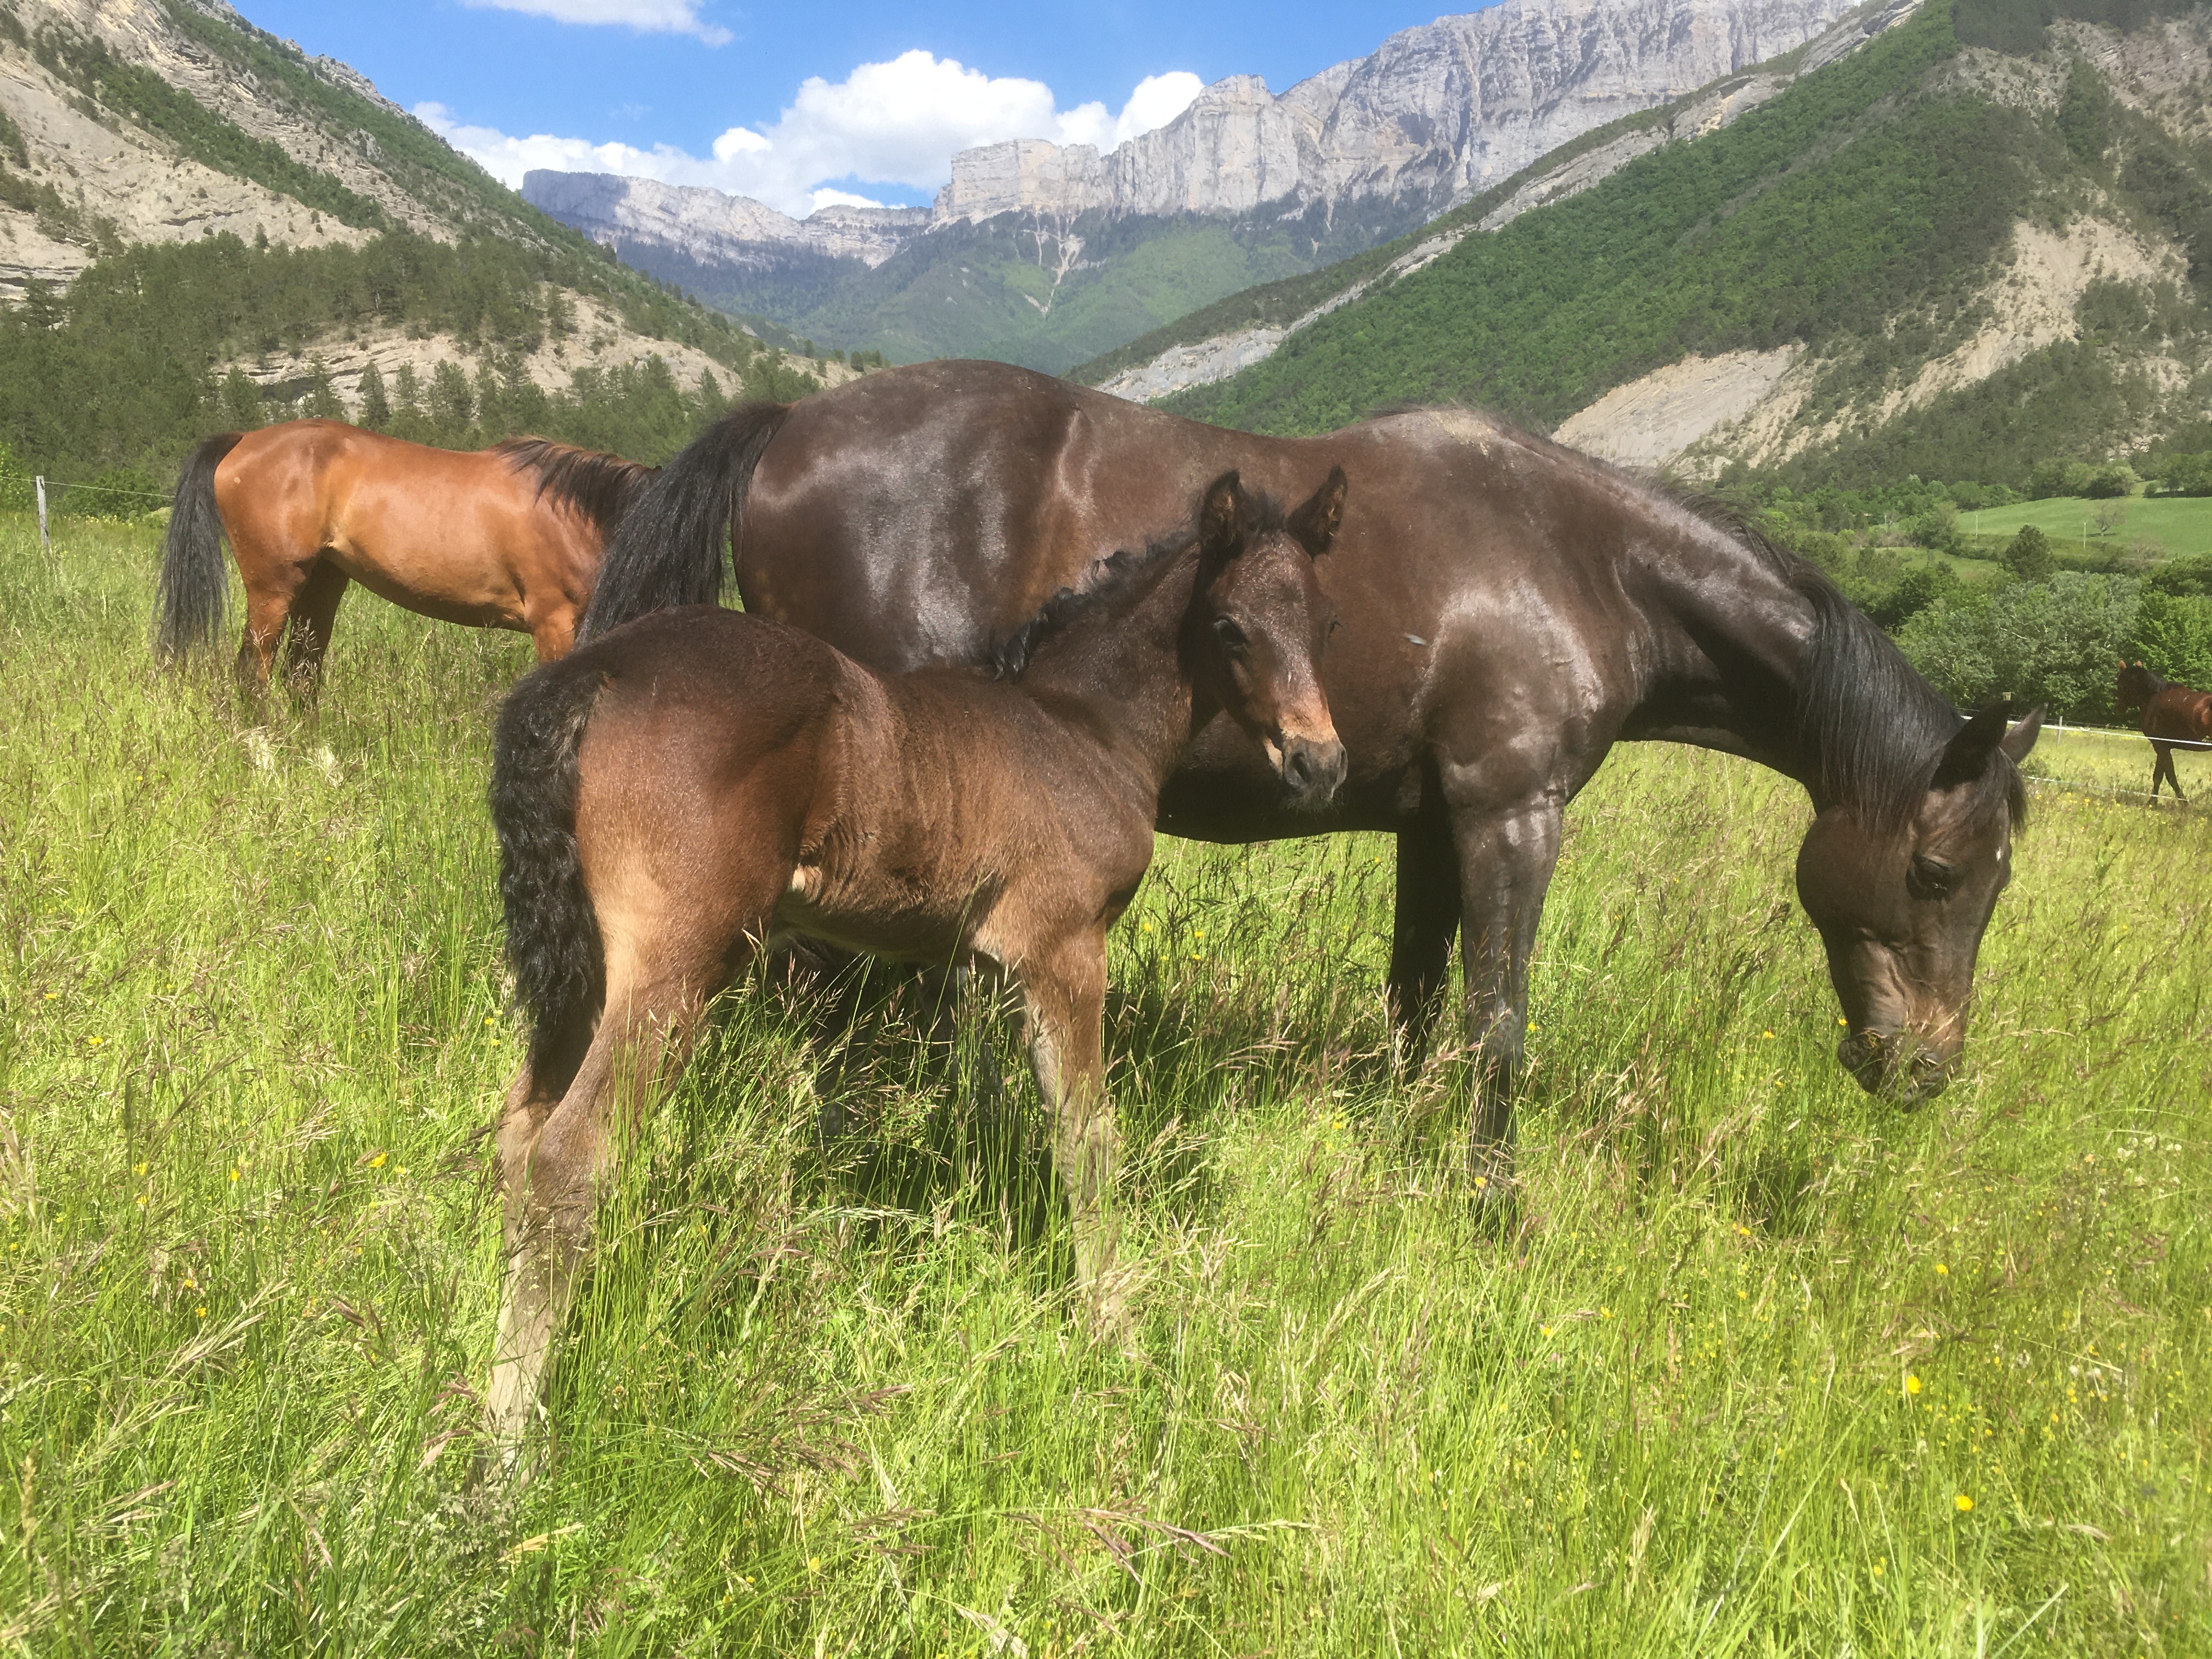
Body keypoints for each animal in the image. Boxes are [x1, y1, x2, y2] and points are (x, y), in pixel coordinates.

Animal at [155, 418, 654, 692]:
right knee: (253, 674)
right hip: (273, 589)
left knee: (302, 675)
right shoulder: (554, 626)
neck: (579, 514)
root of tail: (244, 439)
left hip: (321, 585)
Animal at [484, 467, 1349, 1454]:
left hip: (583, 969)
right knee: (569, 1157)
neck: (1082, 729)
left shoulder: (985, 969)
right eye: (1232, 627)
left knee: (517, 1136)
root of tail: (595, 669)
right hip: (674, 965)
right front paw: (1114, 1330)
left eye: (1326, 623)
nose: (1319, 762)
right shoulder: (1066, 950)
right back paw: (509, 1450)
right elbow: (1087, 1135)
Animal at [577, 360, 2043, 1189]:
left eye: (1992, 886)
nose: (1924, 1070)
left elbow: (1416, 1010)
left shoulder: (1431, 829)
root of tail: (791, 423)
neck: (1578, 560)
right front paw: (1494, 1211)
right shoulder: (1511, 816)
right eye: (1935, 869)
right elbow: (1498, 1027)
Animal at [2117, 660, 2212, 800]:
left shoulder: (2161, 746)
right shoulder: (2163, 747)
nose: (2118, 707)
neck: (2154, 697)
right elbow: (2160, 775)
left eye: (2119, 683)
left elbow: (2165, 777)